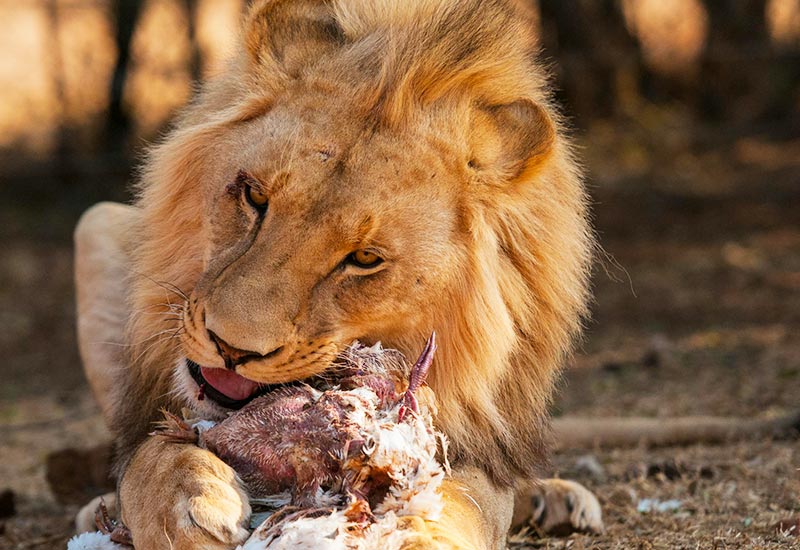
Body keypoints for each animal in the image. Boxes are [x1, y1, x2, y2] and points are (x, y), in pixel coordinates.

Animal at [73, 2, 600, 548]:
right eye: (254, 196)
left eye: (365, 258)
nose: (231, 349)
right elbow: (149, 456)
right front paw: (188, 503)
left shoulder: (472, 444)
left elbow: (464, 498)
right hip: (96, 221)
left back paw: (557, 497)